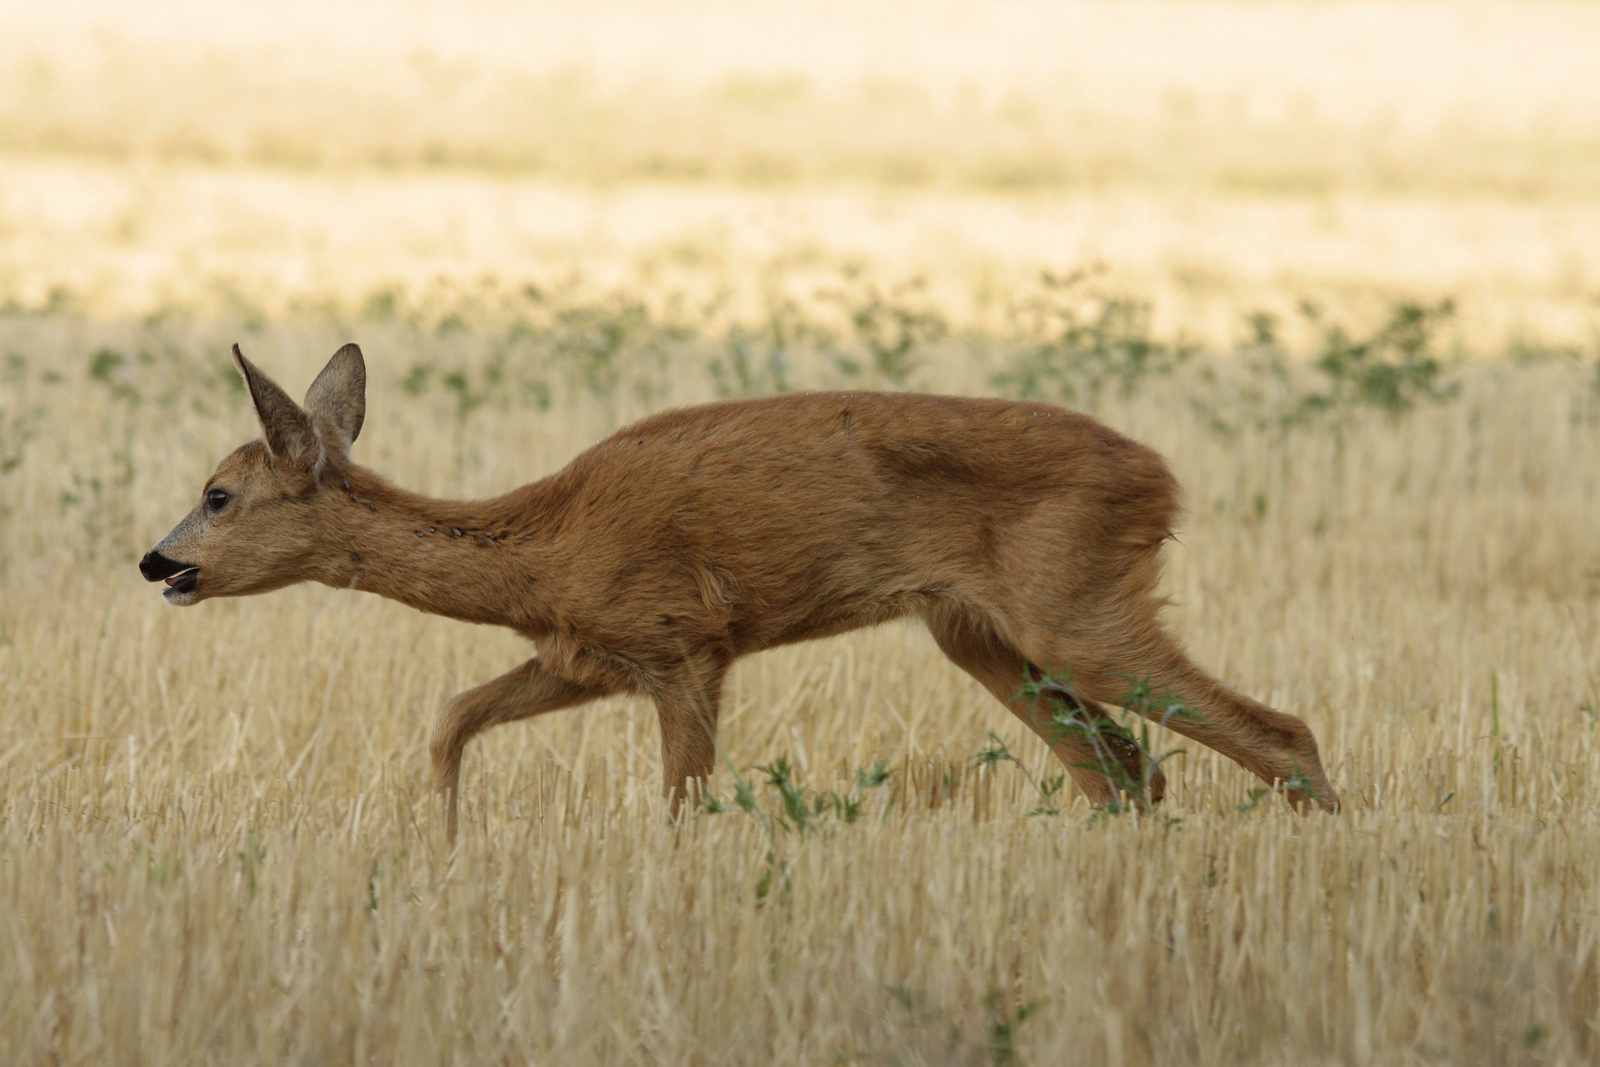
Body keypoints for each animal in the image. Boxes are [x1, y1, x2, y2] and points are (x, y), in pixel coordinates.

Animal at [140, 347, 1337, 838]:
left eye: (218, 493)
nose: (157, 562)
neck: (546, 545)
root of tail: (1162, 477)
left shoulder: (684, 642)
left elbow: (684, 803)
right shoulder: (591, 653)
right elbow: (450, 717)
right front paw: (439, 847)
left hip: (1077, 608)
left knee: (1278, 732)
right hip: (981, 633)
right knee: (1126, 772)